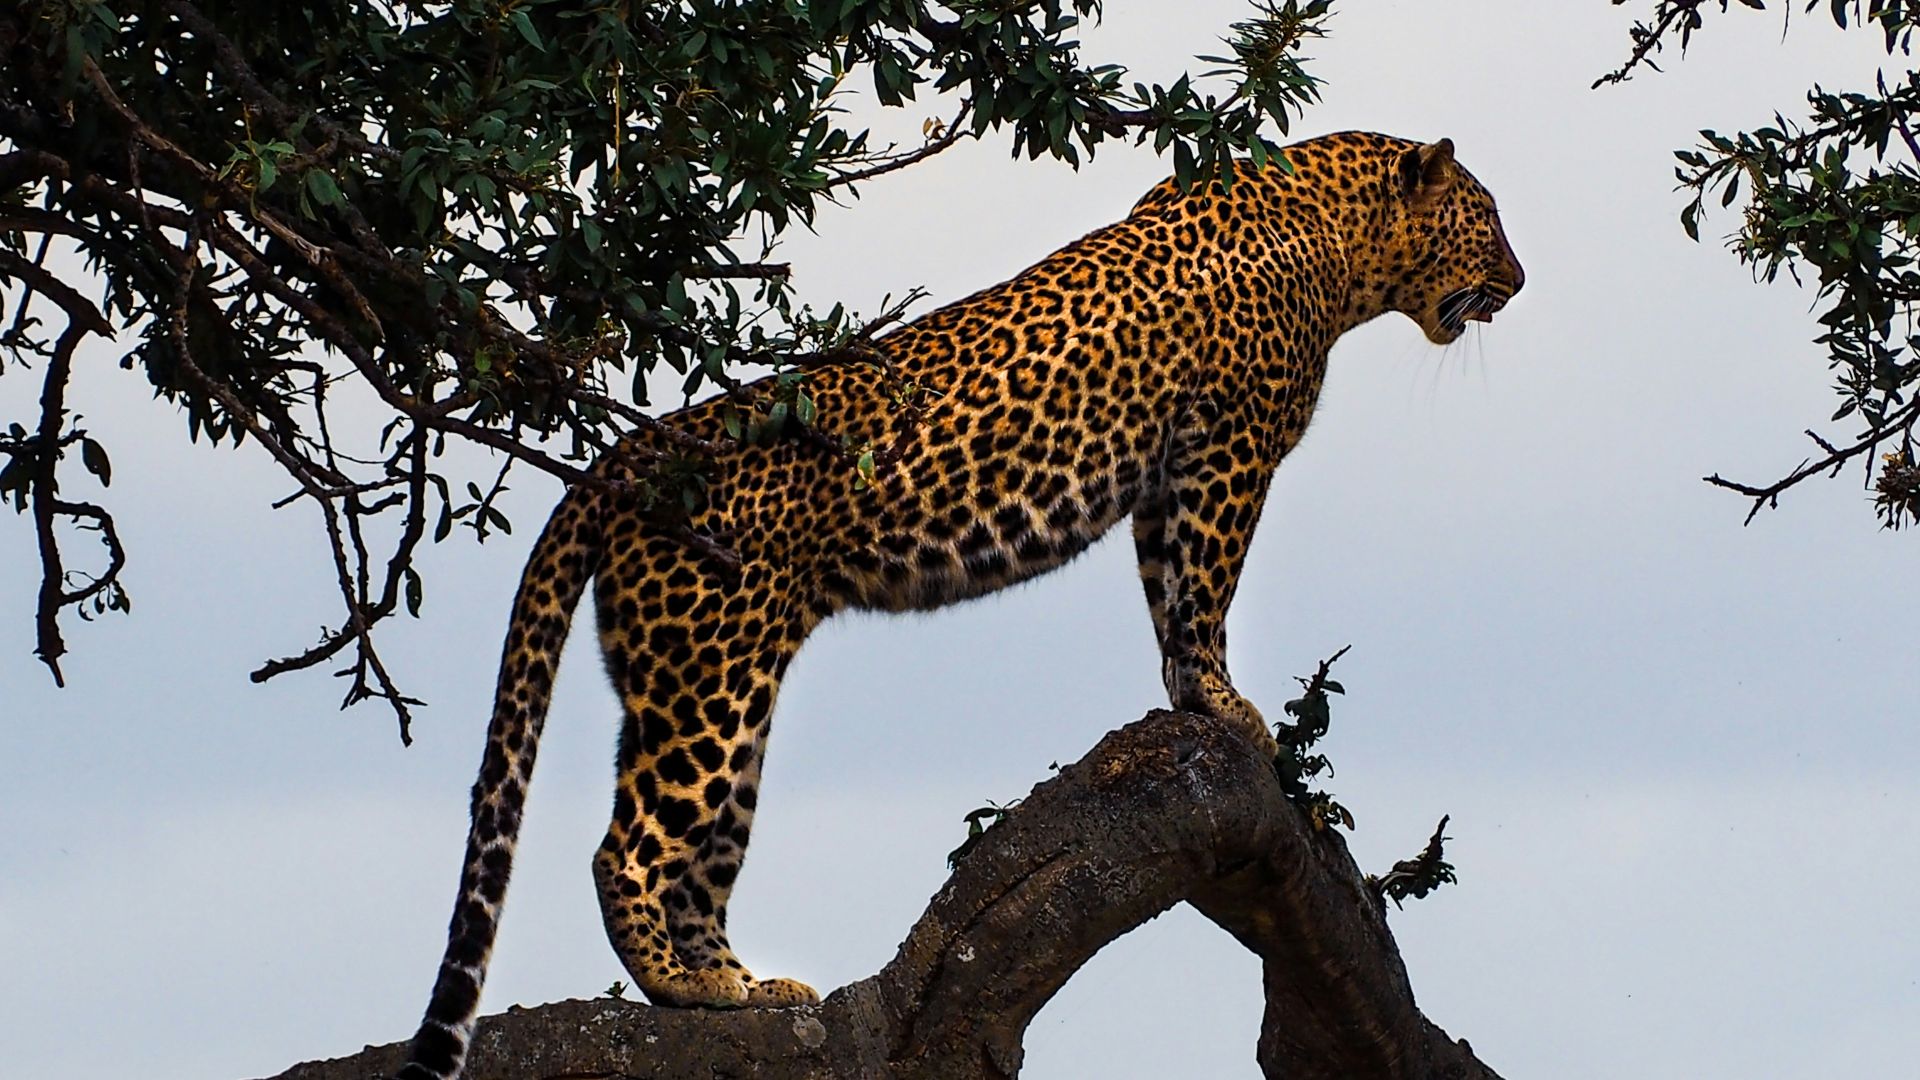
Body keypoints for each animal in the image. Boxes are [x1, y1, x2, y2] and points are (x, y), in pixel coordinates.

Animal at [396, 130, 1524, 1079]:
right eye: (1488, 218)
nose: (1518, 283)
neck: (1338, 239)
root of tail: (633, 454)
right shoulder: (1228, 452)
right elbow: (1205, 585)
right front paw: (1228, 705)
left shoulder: (1168, 478)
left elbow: (1169, 592)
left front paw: (1192, 697)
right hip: (708, 680)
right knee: (628, 847)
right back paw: (692, 988)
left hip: (712, 685)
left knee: (699, 852)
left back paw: (739, 989)